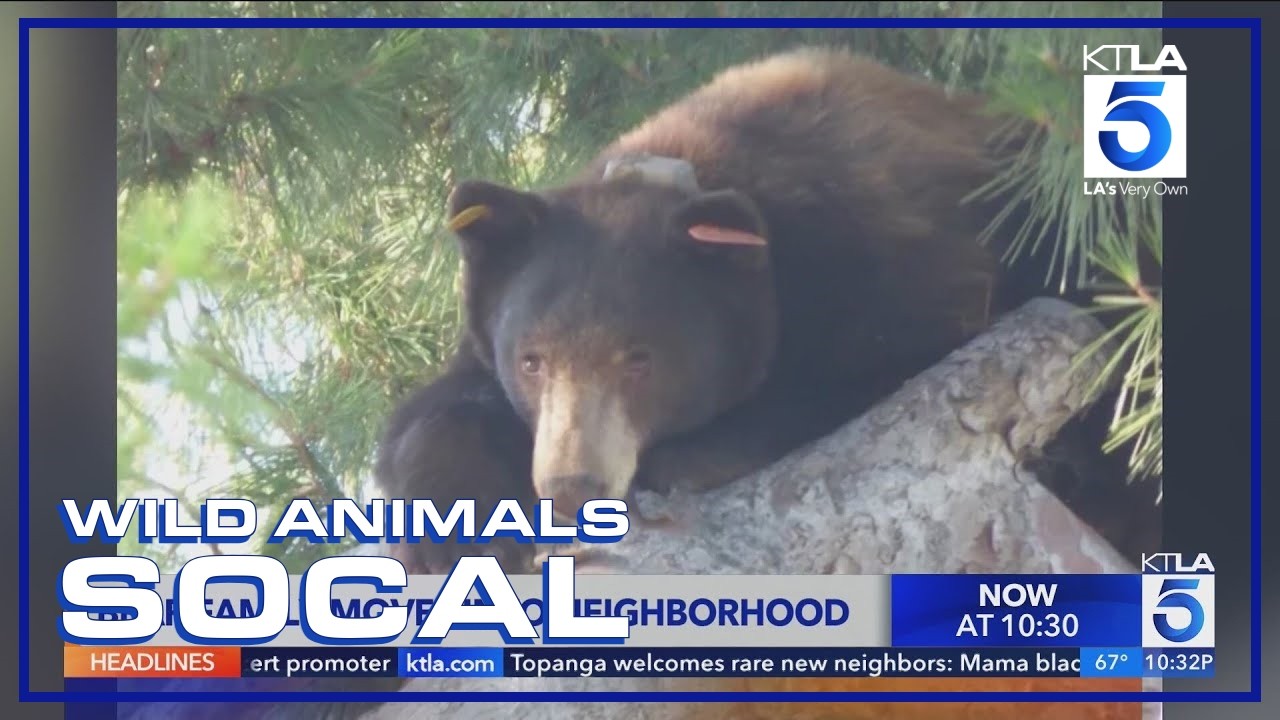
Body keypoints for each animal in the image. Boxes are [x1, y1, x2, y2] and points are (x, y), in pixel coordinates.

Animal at [374, 46, 1159, 575]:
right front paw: (457, 524)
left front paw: (684, 458)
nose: (573, 485)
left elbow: (880, 368)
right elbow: (436, 411)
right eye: (532, 360)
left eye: (641, 359)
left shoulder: (892, 256)